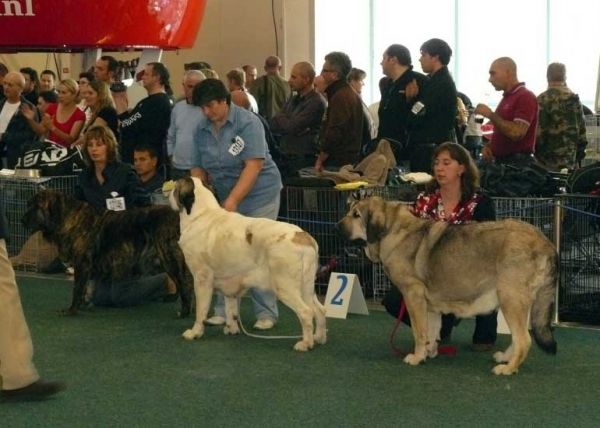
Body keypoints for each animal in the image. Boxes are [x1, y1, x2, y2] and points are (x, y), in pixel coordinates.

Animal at [22, 191, 192, 318]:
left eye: (36, 207)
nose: (22, 219)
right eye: (28, 204)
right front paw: (84, 304)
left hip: (169, 257)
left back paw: (185, 311)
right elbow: (88, 287)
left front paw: (71, 310)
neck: (66, 218)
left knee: (185, 282)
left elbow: (77, 289)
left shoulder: (81, 264)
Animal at [169, 177, 328, 352]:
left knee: (306, 312)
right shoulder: (229, 282)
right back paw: (319, 338)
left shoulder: (201, 280)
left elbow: (201, 311)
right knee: (319, 310)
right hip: (306, 286)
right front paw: (231, 329)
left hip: (285, 287)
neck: (201, 214)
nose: (168, 191)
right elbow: (230, 308)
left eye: (176, 187)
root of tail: (303, 236)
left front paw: (195, 332)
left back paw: (305, 343)